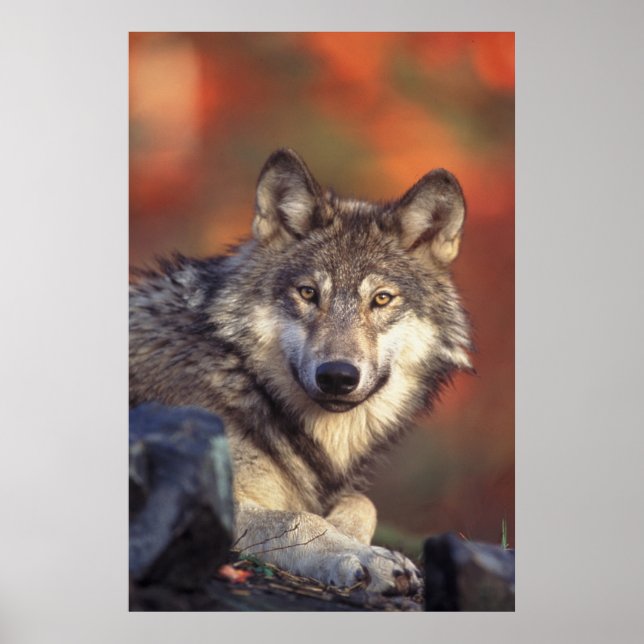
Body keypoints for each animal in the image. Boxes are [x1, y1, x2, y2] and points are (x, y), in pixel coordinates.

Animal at [129, 148, 472, 595]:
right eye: (308, 293)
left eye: (381, 299)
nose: (337, 376)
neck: (243, 378)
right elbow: (297, 519)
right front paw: (366, 558)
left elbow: (363, 503)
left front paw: (354, 538)